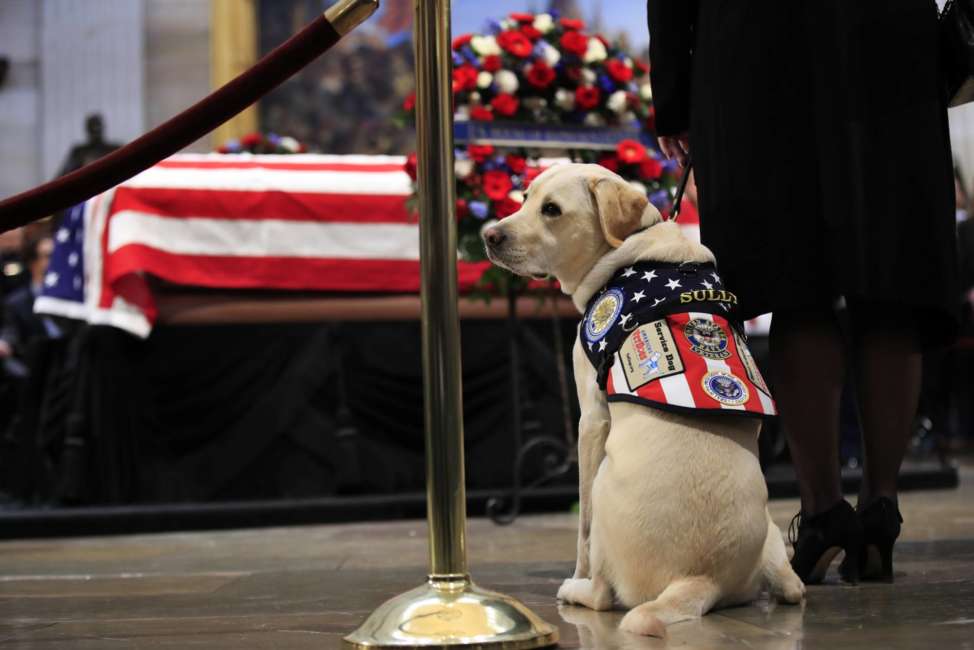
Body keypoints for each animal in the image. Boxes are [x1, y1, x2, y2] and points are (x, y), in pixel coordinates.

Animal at [482, 162, 808, 632]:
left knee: (603, 593)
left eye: (552, 210)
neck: (631, 251)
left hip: (603, 484)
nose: (490, 235)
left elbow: (581, 530)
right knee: (792, 586)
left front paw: (576, 572)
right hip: (771, 540)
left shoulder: (591, 418)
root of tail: (700, 578)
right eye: (524, 197)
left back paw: (575, 589)